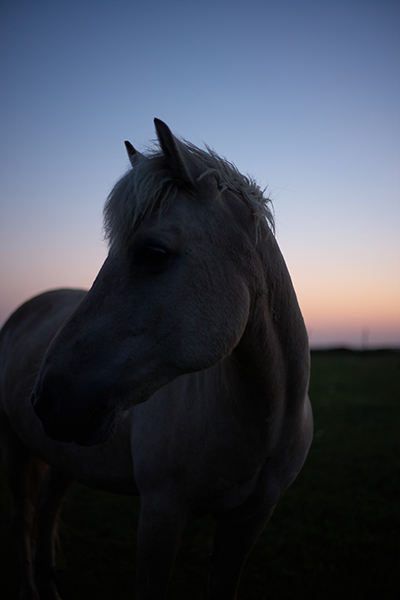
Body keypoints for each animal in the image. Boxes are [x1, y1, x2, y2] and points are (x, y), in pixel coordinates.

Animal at [0, 118, 312, 600]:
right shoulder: (161, 512)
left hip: (63, 454)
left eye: (153, 253)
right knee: (24, 517)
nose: (46, 400)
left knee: (48, 509)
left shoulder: (250, 519)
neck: (267, 422)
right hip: (15, 442)